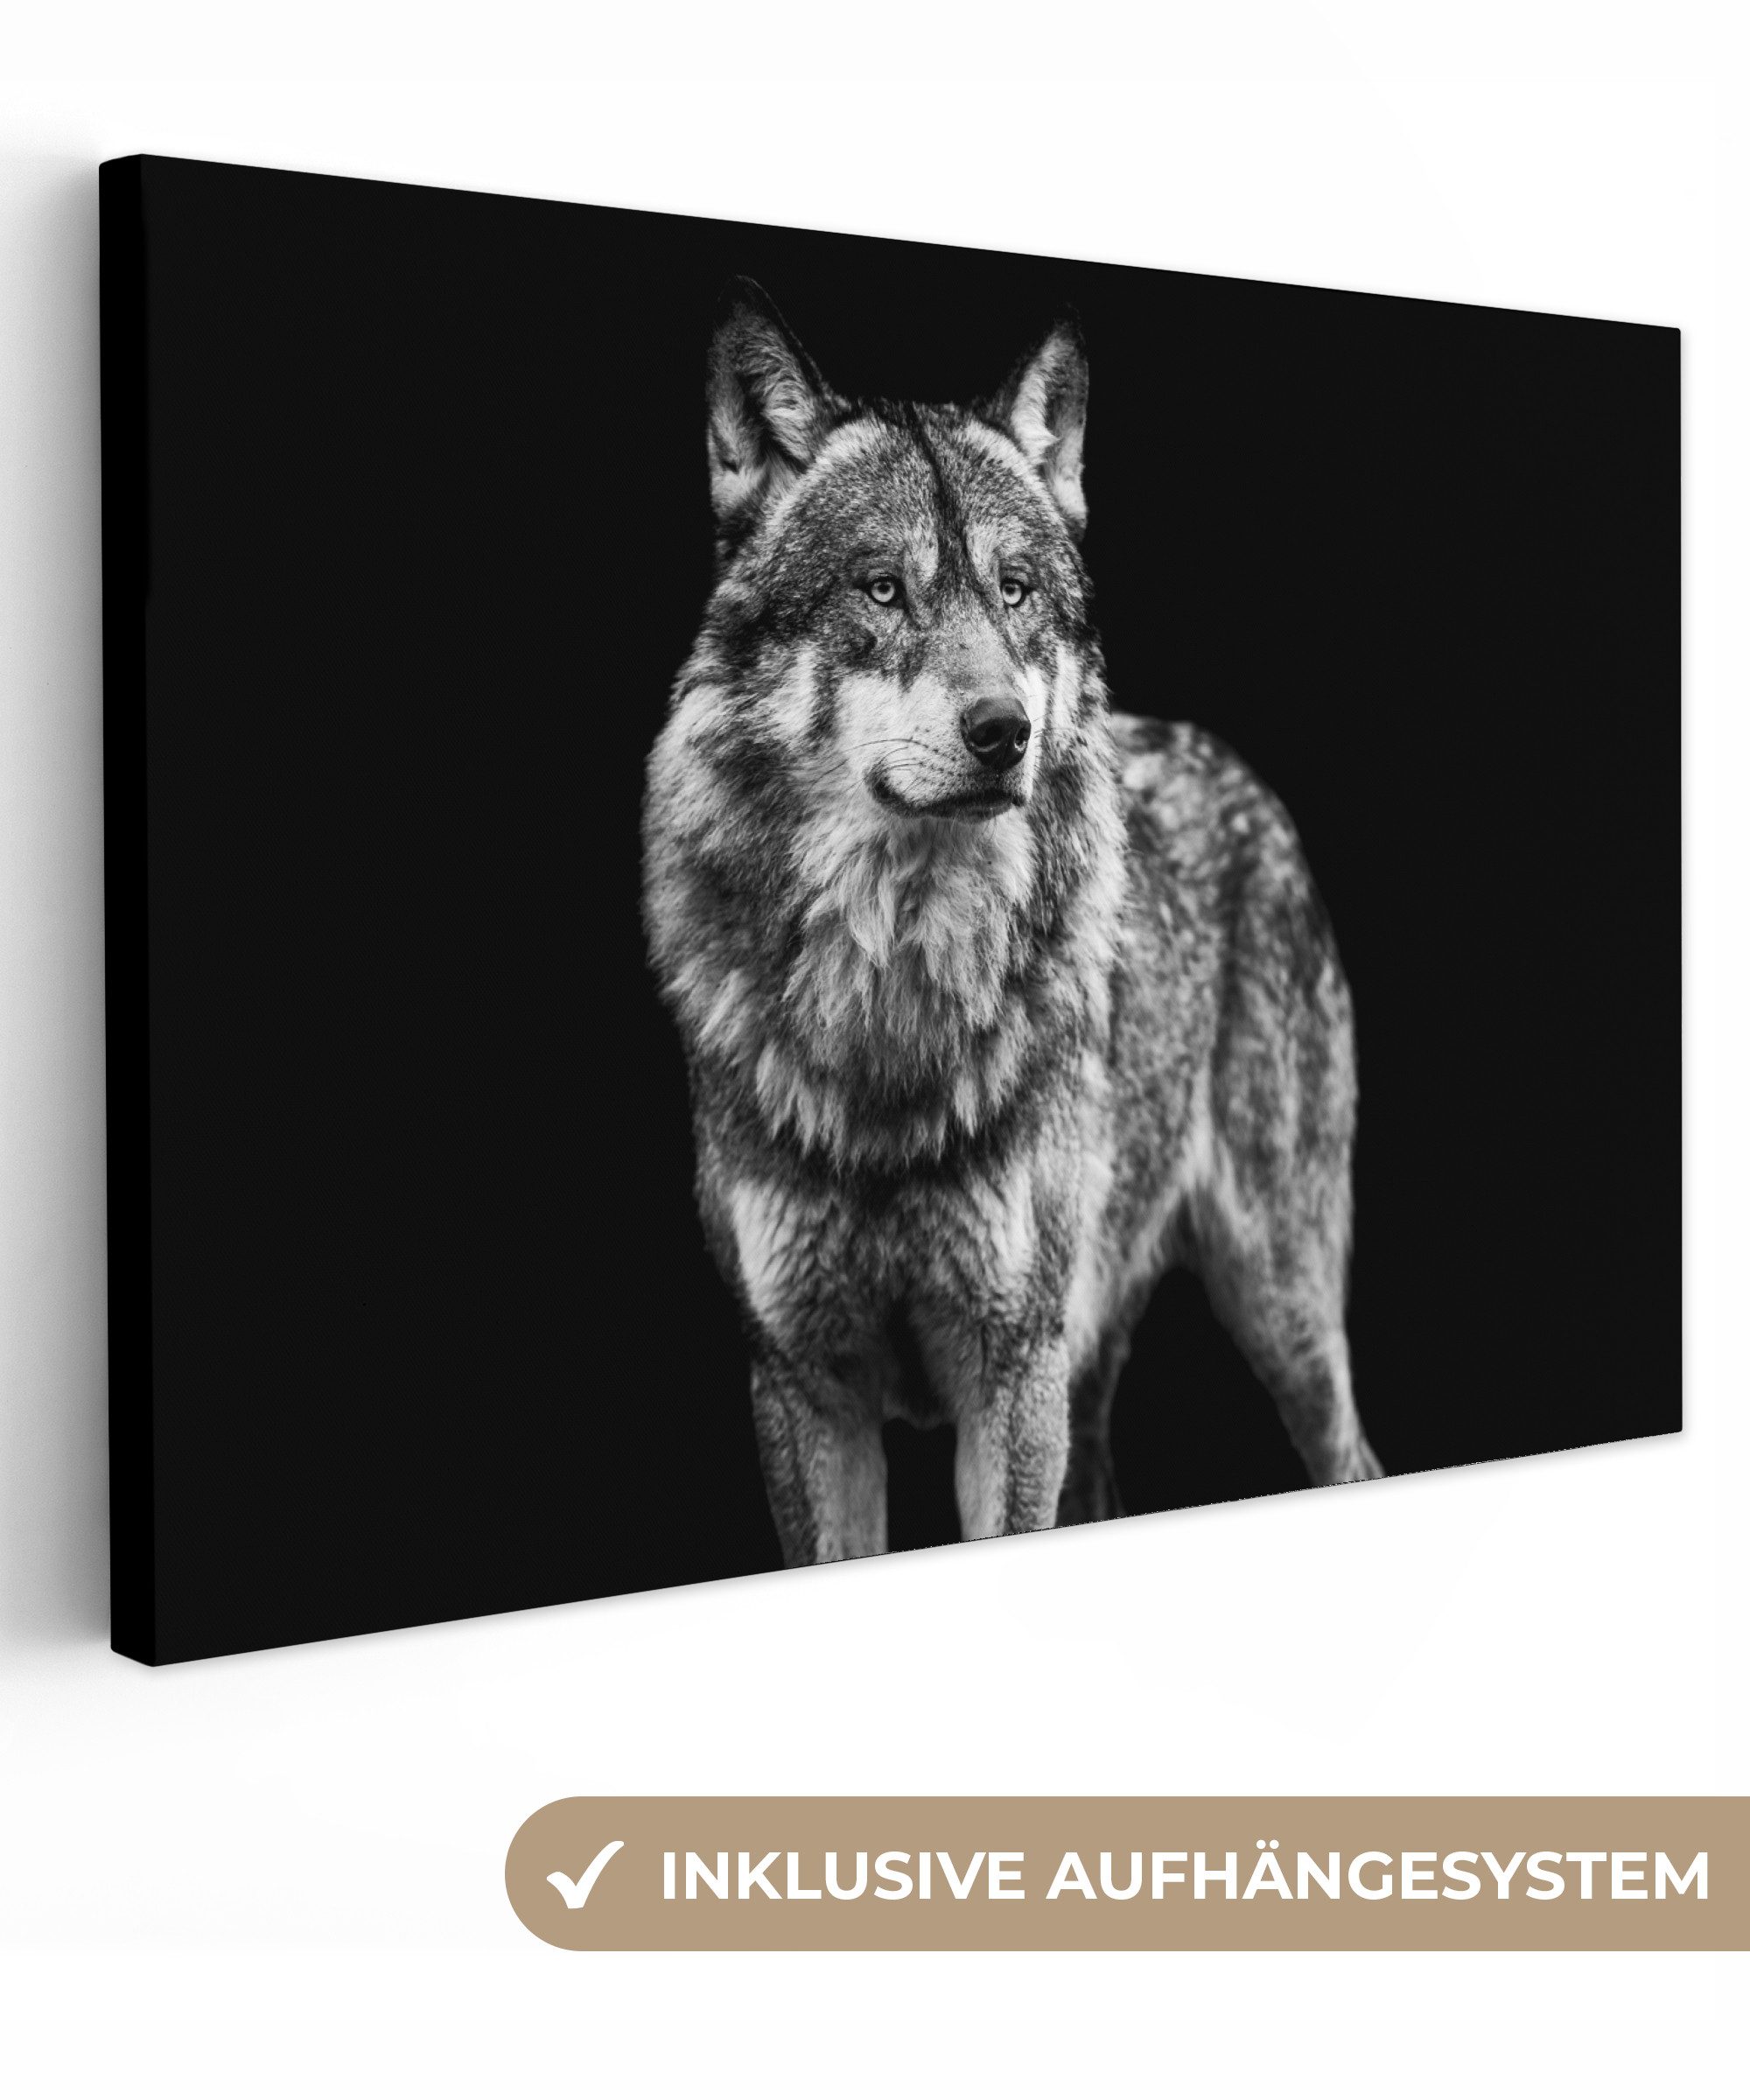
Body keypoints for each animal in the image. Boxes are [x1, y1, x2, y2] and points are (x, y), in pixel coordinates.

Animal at [643, 280, 1383, 1566]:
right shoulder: (800, 1386)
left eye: (1016, 591)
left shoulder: (1010, 1373)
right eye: (883, 588)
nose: (1004, 734)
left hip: (1278, 1309)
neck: (894, 992)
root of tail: (1234, 766)